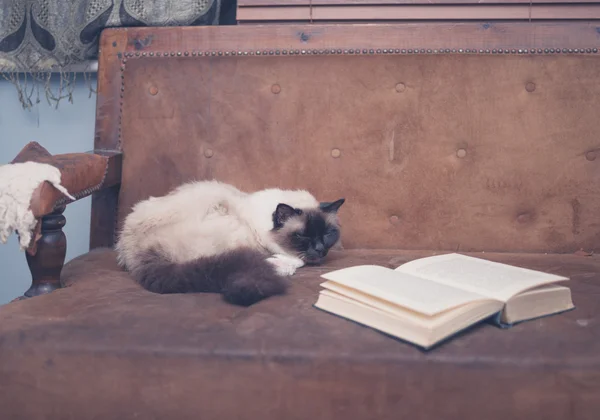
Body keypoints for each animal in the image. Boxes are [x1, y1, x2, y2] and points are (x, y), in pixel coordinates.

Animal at [115, 180, 344, 306]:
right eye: (303, 236)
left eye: (328, 234)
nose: (320, 250)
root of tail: (134, 249)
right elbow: (298, 259)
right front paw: (282, 262)